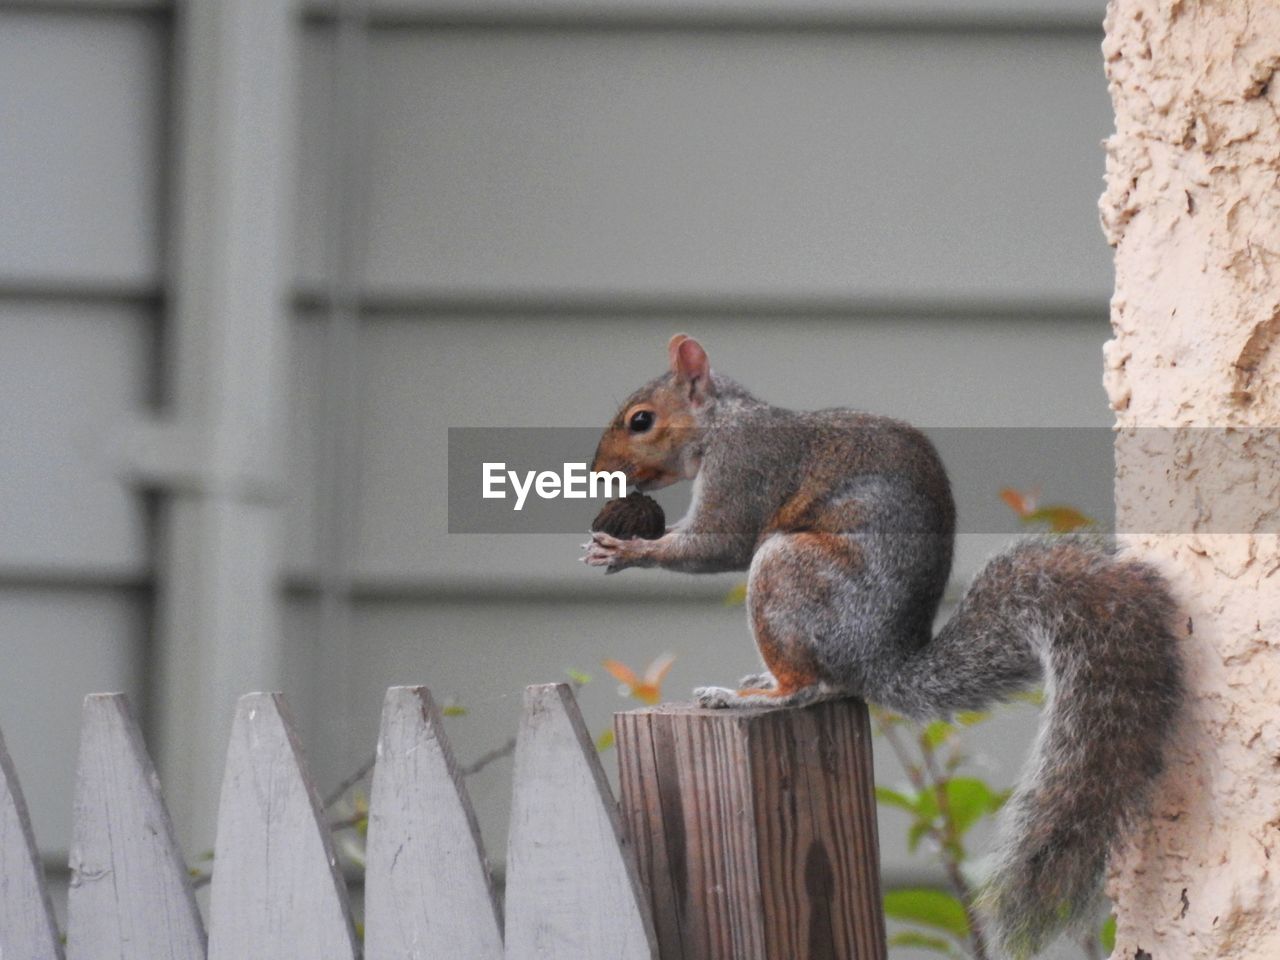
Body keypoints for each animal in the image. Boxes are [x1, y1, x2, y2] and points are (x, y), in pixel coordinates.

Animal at [586, 335, 1182, 960]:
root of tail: (878, 661)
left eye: (641, 420)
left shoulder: (746, 468)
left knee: (805, 686)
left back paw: (750, 696)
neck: (723, 421)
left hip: (790, 571)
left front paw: (627, 549)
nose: (598, 472)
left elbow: (716, 543)